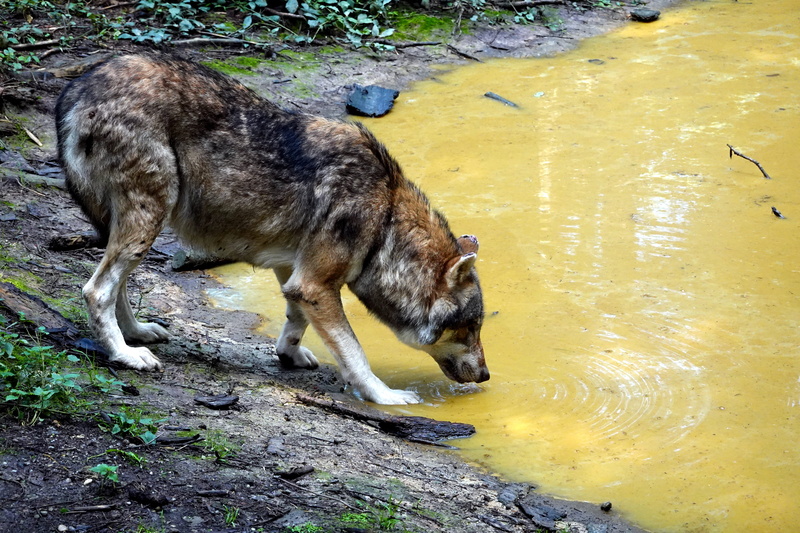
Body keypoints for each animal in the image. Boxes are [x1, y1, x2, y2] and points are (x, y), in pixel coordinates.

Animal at [55, 53, 489, 405]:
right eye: (470, 328)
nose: (486, 375)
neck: (386, 216)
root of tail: (78, 87)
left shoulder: (295, 275)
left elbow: (295, 320)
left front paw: (289, 355)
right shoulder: (315, 284)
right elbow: (354, 352)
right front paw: (384, 395)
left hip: (133, 228)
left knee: (118, 286)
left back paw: (138, 333)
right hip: (148, 220)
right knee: (97, 290)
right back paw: (125, 355)